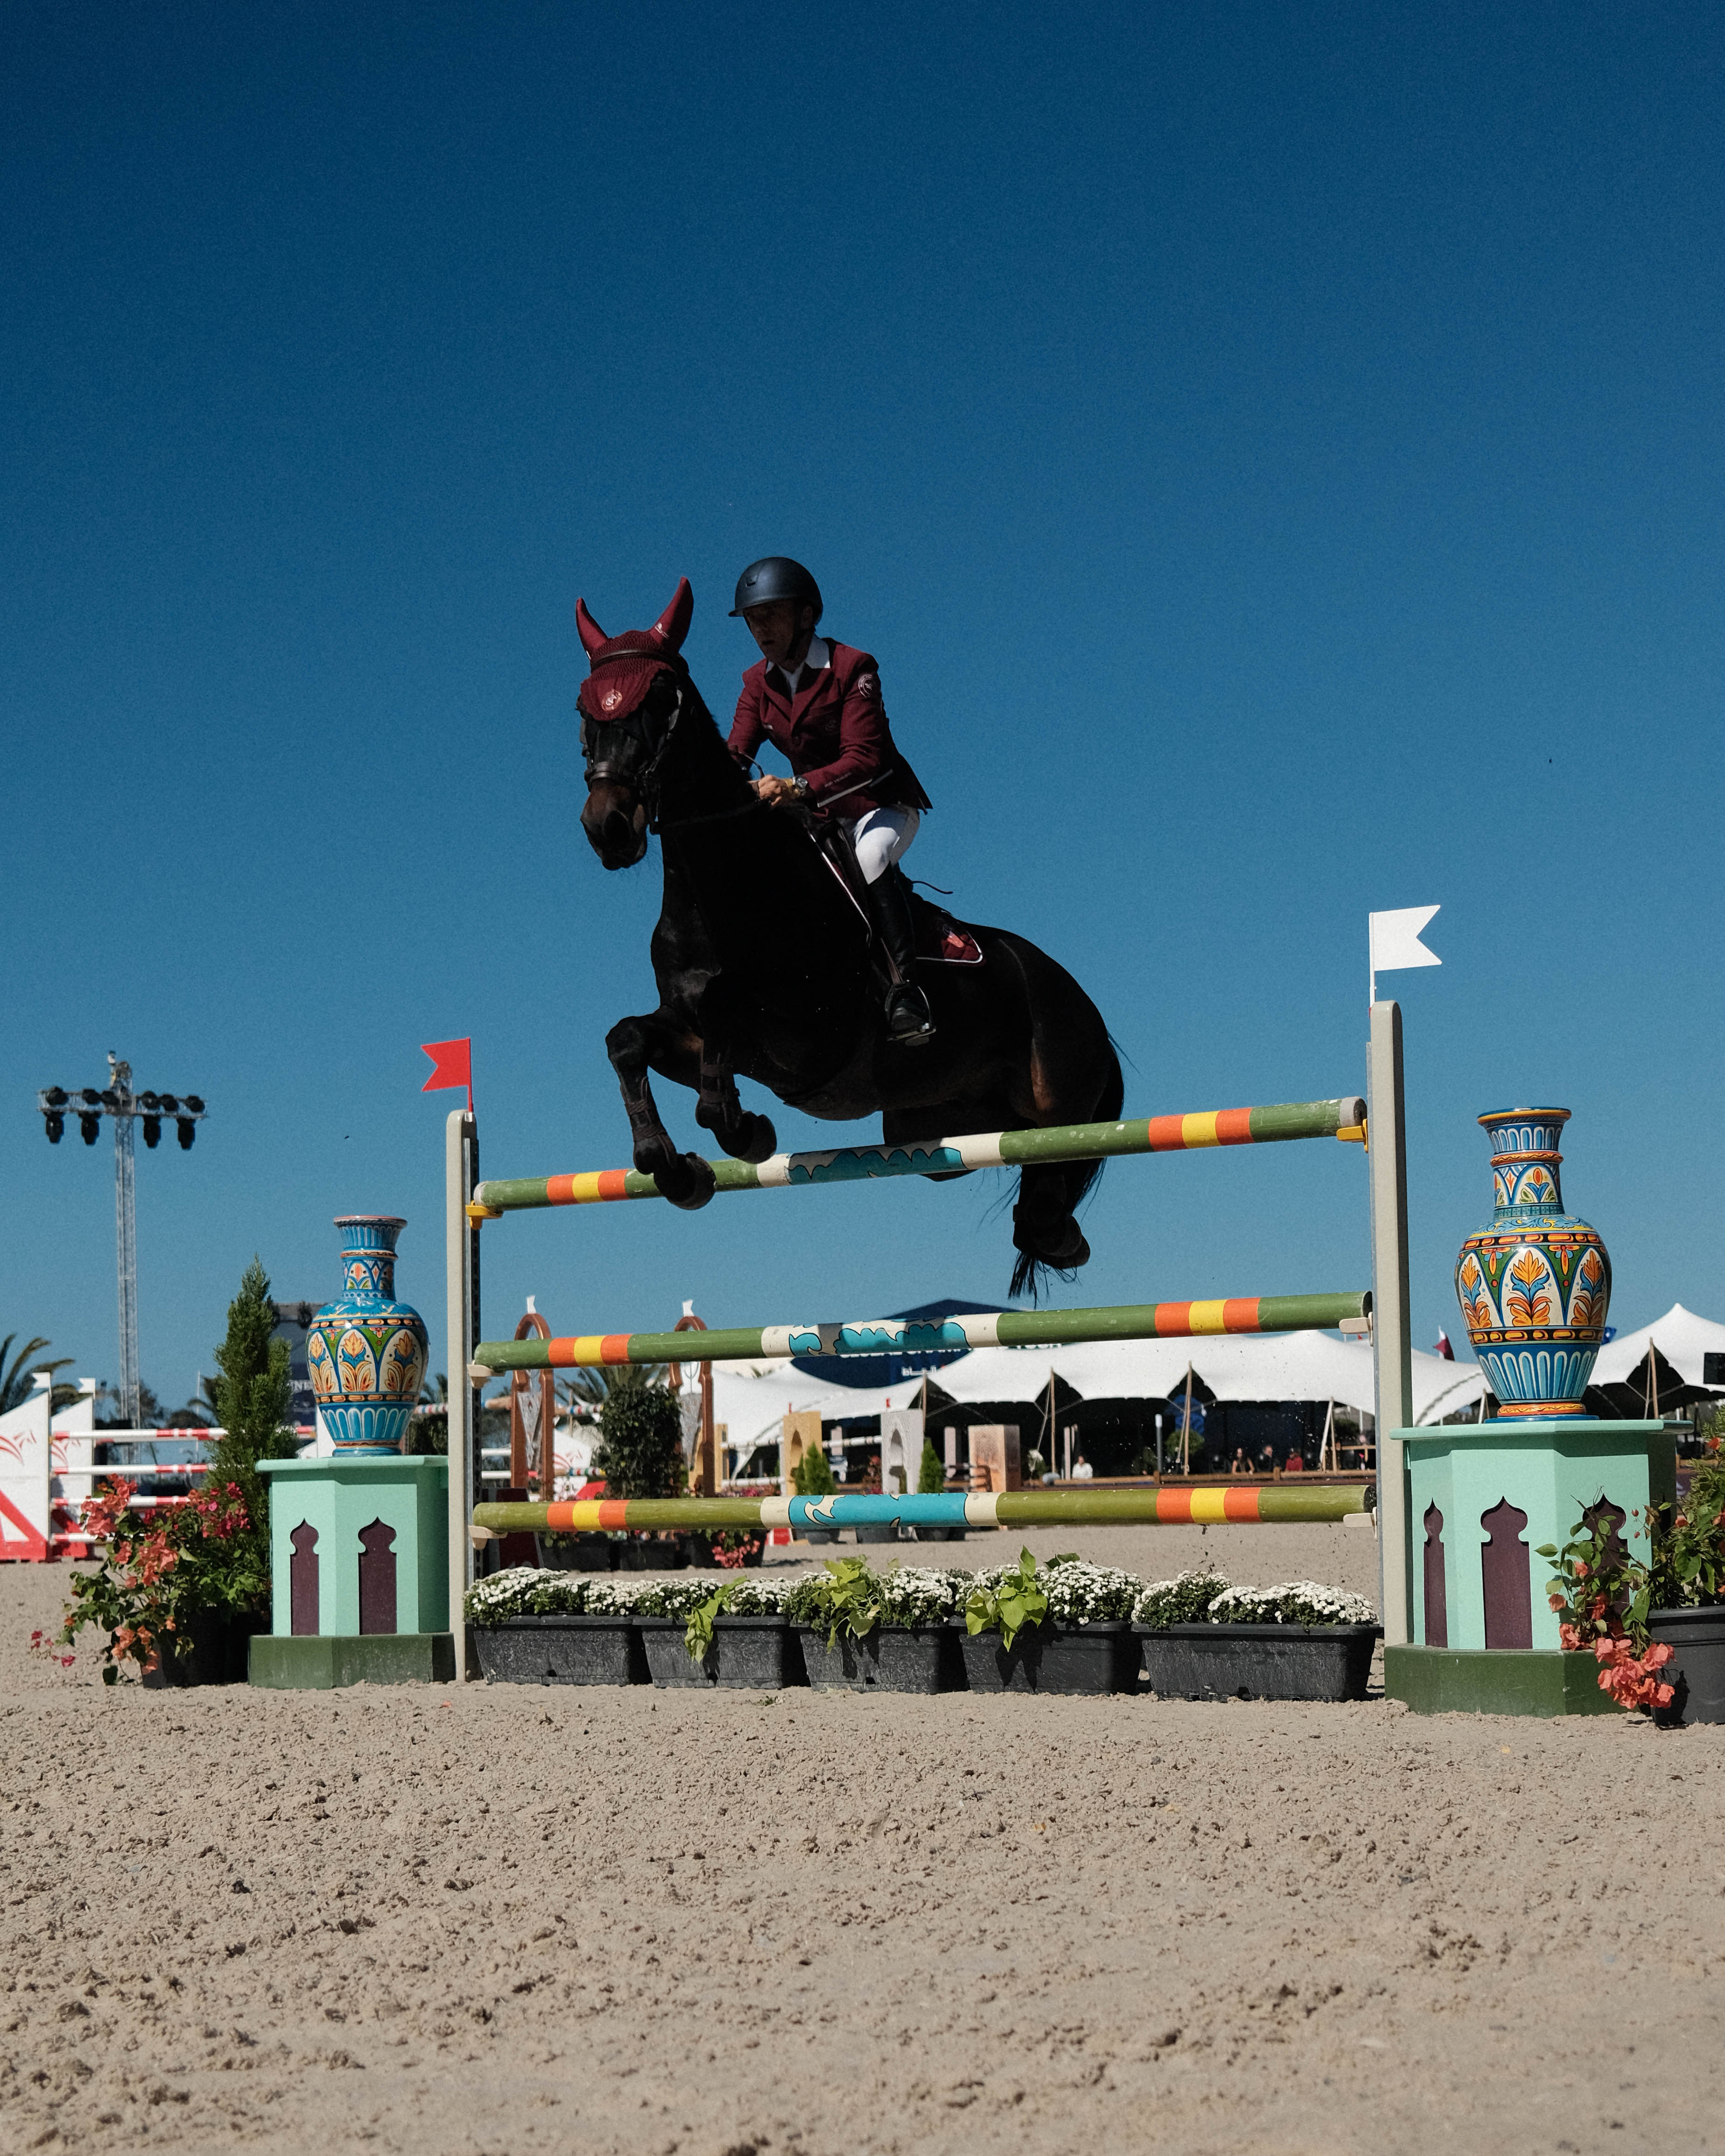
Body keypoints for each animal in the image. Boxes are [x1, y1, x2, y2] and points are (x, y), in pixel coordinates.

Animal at [573, 573, 1121, 1294]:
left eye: (662, 699)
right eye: (584, 708)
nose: (608, 828)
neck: (723, 893)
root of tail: (1083, 1001)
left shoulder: (808, 1037)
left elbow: (725, 1013)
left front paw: (744, 1132)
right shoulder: (687, 1032)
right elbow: (627, 1039)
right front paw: (674, 1166)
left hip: (1059, 1099)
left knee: (1051, 1173)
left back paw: (1059, 1237)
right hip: (940, 1123)